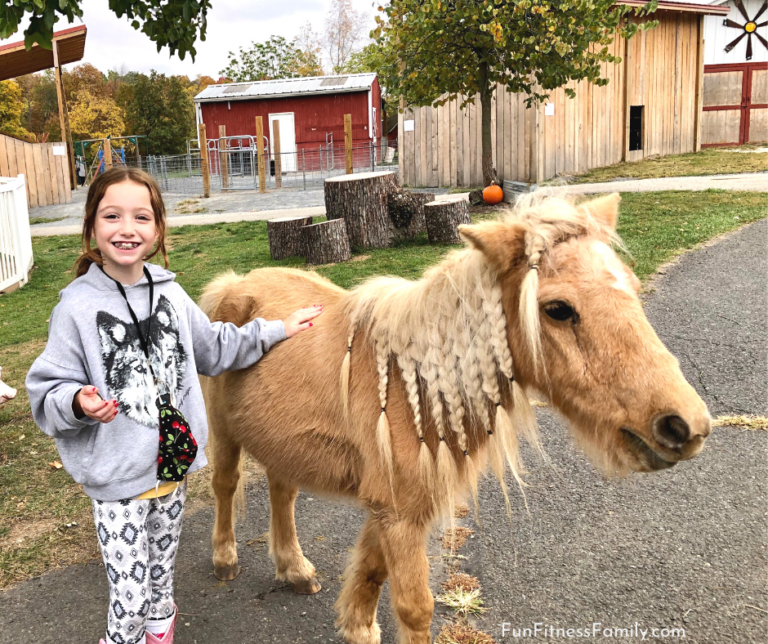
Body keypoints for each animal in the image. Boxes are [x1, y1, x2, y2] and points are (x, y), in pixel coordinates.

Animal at [201, 194, 712, 644]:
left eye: (633, 288)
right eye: (557, 310)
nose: (684, 425)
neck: (414, 385)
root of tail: (232, 285)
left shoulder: (396, 508)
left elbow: (371, 572)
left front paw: (357, 626)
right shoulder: (400, 517)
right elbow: (414, 608)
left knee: (282, 492)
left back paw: (294, 568)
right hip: (223, 433)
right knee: (226, 484)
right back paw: (225, 559)